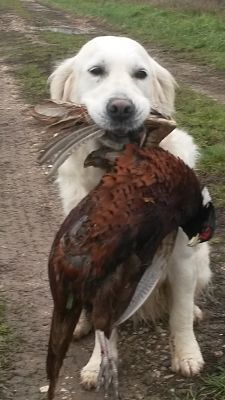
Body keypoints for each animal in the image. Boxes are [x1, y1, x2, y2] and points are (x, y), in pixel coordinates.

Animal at [48, 36, 211, 388]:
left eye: (141, 74)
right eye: (96, 71)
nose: (122, 108)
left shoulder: (181, 256)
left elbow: (179, 314)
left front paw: (187, 355)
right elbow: (103, 331)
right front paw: (97, 365)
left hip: (201, 263)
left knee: (186, 300)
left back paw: (193, 311)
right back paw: (79, 324)